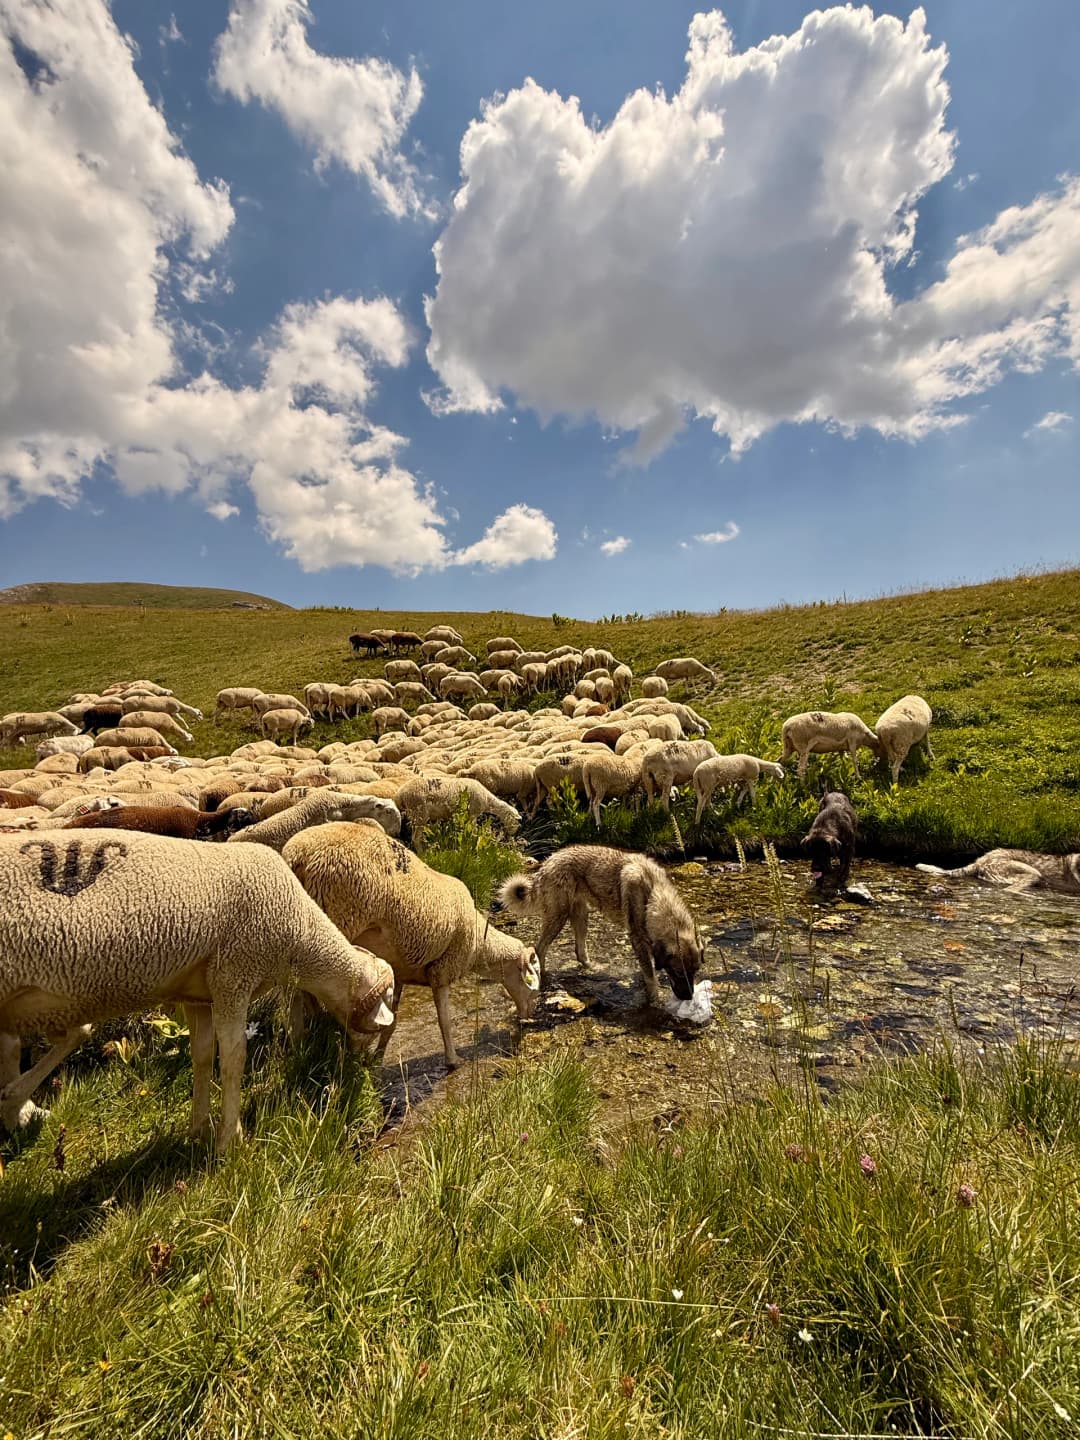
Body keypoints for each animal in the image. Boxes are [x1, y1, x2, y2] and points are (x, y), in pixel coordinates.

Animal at [0, 832, 395, 1147]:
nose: (364, 1066)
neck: (301, 935)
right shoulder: (233, 976)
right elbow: (234, 1059)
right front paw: (230, 1140)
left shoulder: (198, 997)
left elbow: (202, 1056)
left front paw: (199, 1129)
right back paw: (16, 1105)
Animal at [283, 823, 538, 1069]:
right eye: (530, 980)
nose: (530, 1018)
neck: (479, 946)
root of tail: (299, 855)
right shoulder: (442, 970)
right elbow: (444, 1021)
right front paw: (452, 1060)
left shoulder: (399, 973)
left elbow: (392, 1022)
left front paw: (377, 1059)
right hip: (337, 919)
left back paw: (309, 1033)